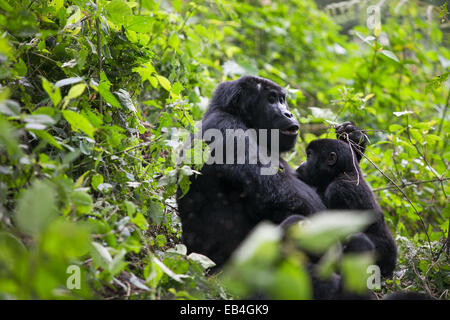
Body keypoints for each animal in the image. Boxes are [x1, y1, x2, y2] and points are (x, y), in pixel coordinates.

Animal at [176, 77, 366, 268]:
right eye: (271, 99)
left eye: (282, 100)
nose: (288, 114)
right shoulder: (228, 129)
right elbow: (270, 195)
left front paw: (353, 138)